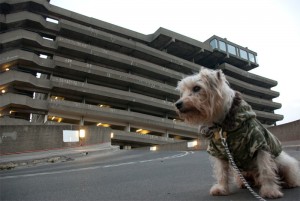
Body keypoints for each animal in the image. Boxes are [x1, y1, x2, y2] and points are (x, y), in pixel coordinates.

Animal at [175, 67, 298, 198]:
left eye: (196, 88)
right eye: (183, 91)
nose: (177, 104)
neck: (222, 124)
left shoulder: (259, 145)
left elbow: (265, 169)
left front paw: (270, 190)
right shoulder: (219, 151)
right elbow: (222, 172)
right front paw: (222, 188)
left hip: (284, 163)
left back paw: (289, 183)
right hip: (241, 171)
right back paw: (244, 183)